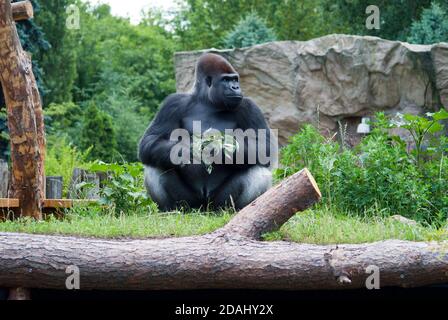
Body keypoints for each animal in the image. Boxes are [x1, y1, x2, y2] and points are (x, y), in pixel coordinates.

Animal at [138, 53, 274, 211]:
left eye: (235, 79)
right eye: (226, 80)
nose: (236, 87)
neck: (207, 101)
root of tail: (204, 207)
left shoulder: (250, 107)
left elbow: (264, 147)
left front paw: (217, 149)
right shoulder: (172, 103)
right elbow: (150, 140)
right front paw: (187, 150)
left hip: (218, 203)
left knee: (258, 170)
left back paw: (244, 208)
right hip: (190, 203)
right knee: (155, 166)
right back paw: (169, 209)